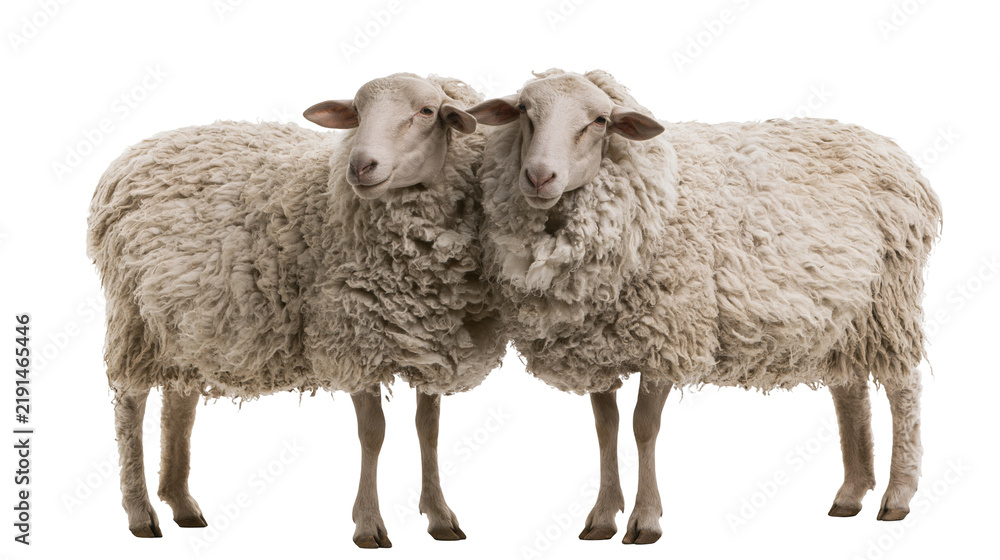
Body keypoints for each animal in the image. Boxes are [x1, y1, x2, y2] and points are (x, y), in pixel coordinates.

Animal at [86, 73, 505, 547]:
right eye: (356, 112)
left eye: (428, 111)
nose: (360, 166)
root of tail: (132, 154)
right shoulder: (349, 334)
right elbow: (373, 432)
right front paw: (368, 524)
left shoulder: (430, 340)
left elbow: (428, 430)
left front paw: (439, 516)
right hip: (132, 317)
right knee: (130, 405)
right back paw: (140, 512)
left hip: (186, 321)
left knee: (179, 402)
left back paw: (181, 504)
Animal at [468, 69, 942, 544]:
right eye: (524, 111)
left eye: (600, 120)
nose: (538, 176)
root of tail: (890, 148)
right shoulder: (596, 346)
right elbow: (606, 429)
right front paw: (602, 516)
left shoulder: (669, 334)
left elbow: (643, 427)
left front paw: (646, 518)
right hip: (843, 315)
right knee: (850, 389)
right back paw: (851, 494)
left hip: (890, 301)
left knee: (903, 389)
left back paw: (897, 496)